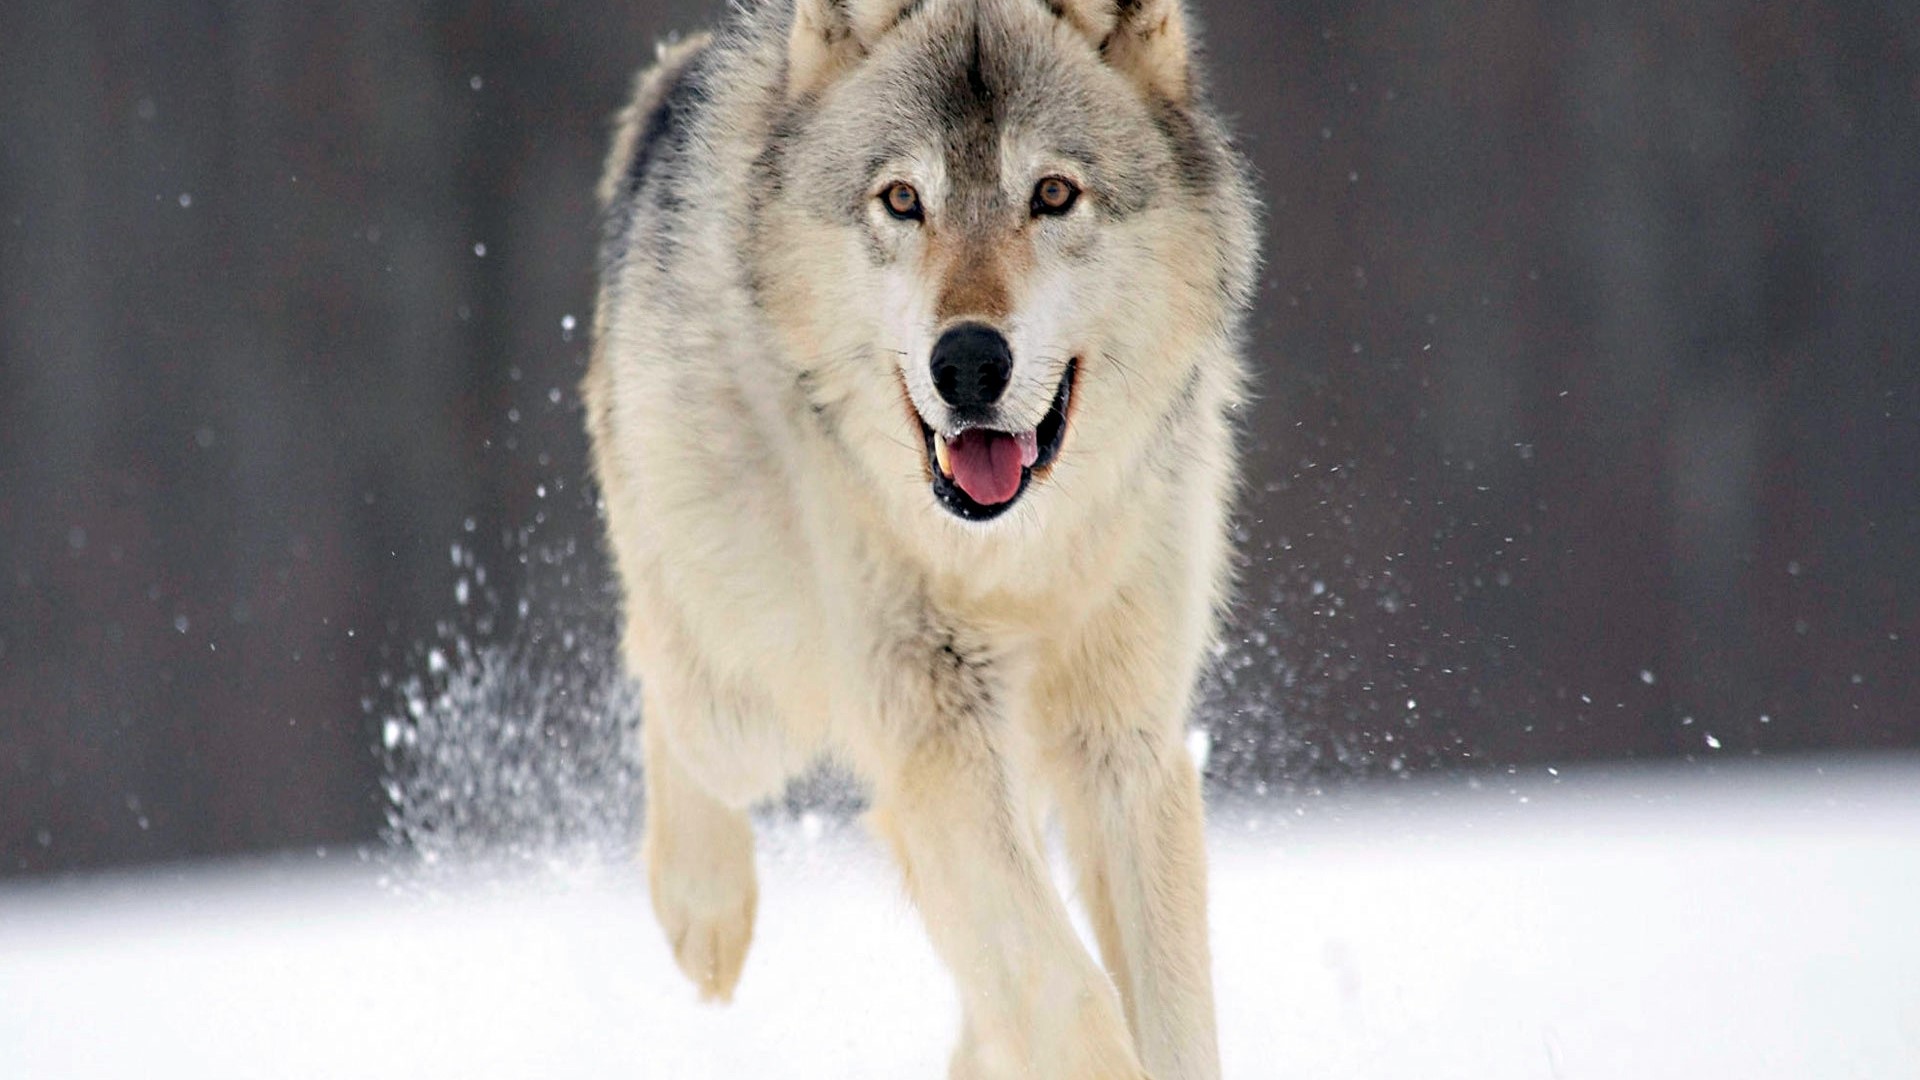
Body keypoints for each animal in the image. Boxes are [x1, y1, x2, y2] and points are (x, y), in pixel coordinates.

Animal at [585, 0, 1258, 1075]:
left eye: (1053, 194)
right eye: (903, 200)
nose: (969, 362)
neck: (1014, 560)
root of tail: (674, 78)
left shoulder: (1126, 743)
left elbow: (1168, 1013)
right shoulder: (933, 727)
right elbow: (1068, 994)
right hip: (751, 698)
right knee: (661, 673)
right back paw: (705, 914)